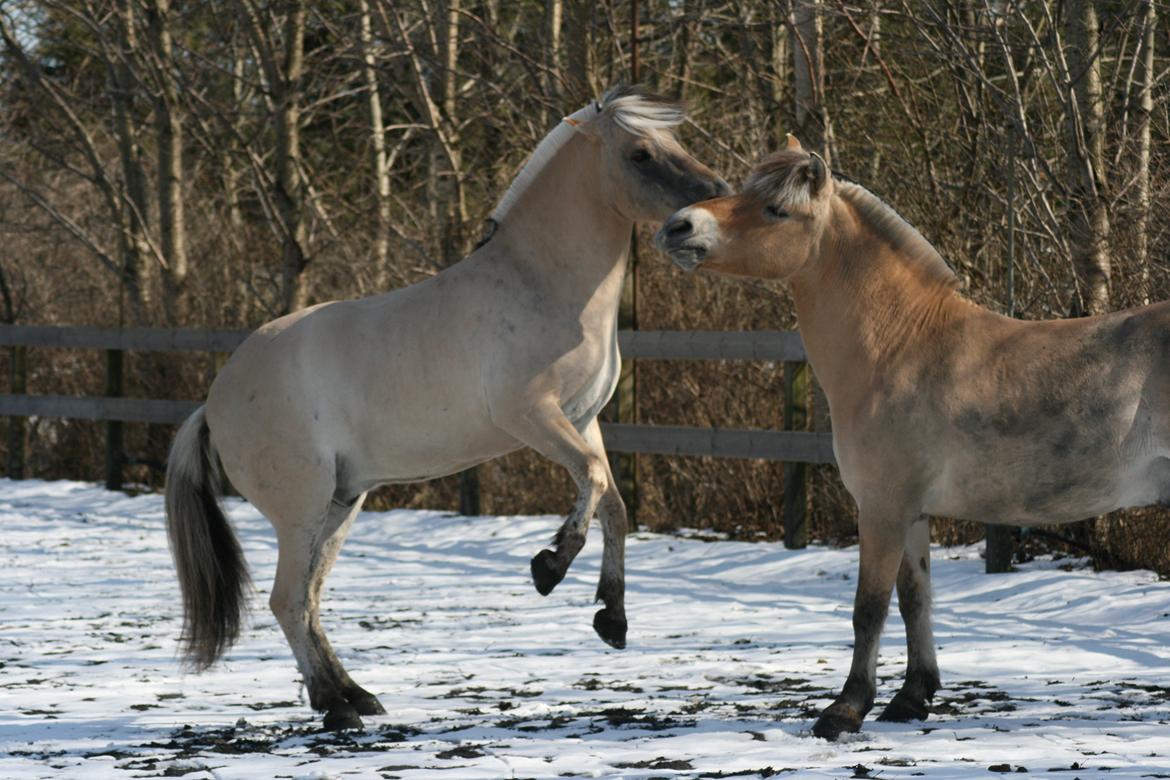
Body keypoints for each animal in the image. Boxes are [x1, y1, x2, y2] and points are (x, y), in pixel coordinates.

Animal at [166, 85, 725, 734]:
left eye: (674, 141)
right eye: (640, 153)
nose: (707, 203)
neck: (540, 284)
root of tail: (214, 402)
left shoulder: (584, 420)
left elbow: (613, 503)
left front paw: (611, 618)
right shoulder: (531, 416)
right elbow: (590, 481)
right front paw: (548, 568)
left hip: (341, 502)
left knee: (305, 600)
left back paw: (355, 697)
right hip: (301, 507)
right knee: (288, 600)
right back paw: (338, 708)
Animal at [659, 137, 1170, 743]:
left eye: (776, 210)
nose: (679, 226)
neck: (902, 346)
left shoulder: (882, 508)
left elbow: (870, 607)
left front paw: (845, 710)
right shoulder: (913, 513)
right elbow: (915, 601)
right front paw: (911, 697)